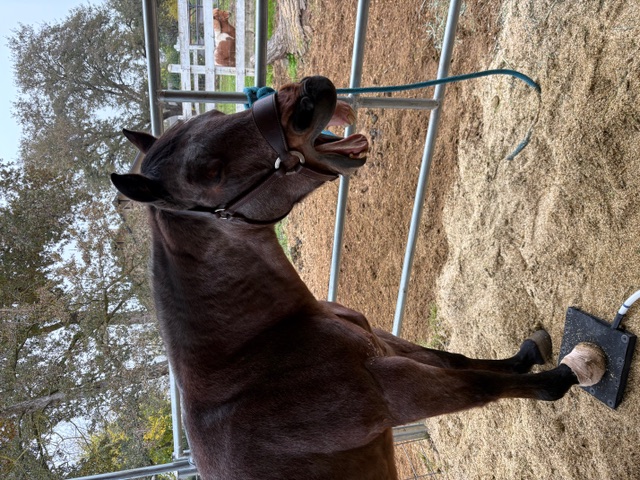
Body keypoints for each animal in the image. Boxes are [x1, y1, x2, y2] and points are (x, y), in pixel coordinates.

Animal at [111, 76, 606, 480]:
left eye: (213, 115)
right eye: (208, 173)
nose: (311, 93)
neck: (255, 351)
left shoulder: (384, 344)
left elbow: (457, 359)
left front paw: (528, 353)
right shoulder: (395, 392)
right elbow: (482, 385)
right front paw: (566, 374)